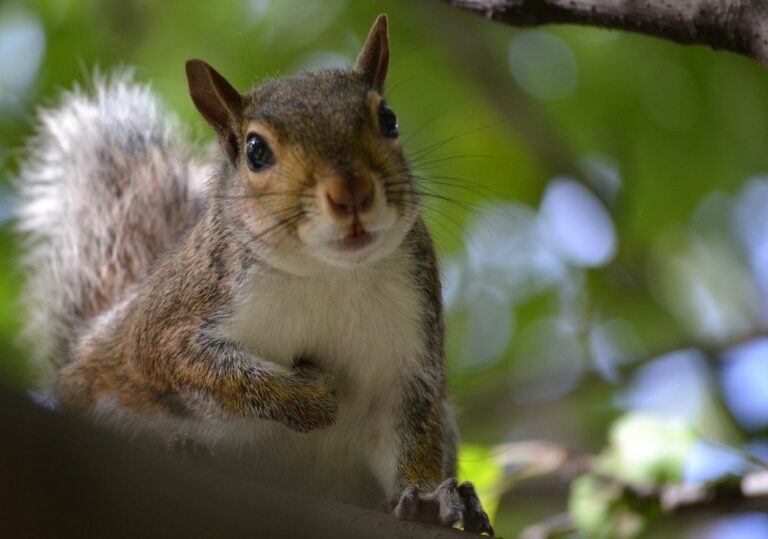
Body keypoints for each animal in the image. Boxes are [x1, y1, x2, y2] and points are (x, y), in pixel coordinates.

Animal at [15, 14, 492, 535]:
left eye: (389, 120)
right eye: (255, 151)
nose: (352, 193)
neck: (330, 273)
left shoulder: (409, 343)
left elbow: (410, 431)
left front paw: (428, 499)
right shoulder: (177, 314)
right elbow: (194, 366)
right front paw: (307, 398)